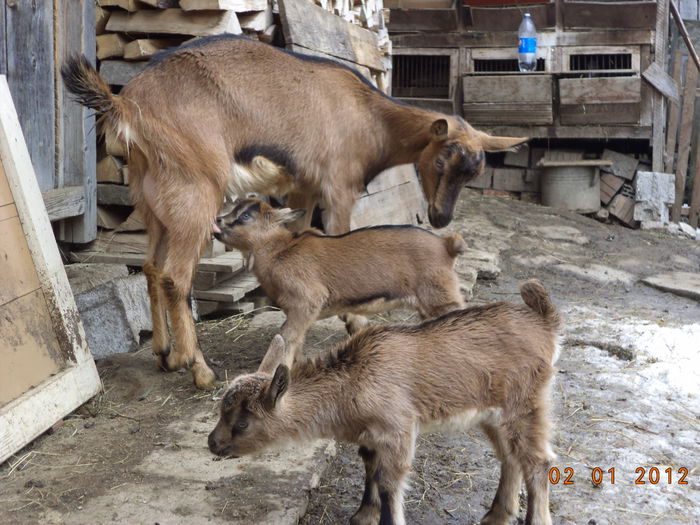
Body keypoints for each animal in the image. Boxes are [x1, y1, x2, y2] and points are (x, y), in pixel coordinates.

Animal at [63, 35, 528, 388]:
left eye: (475, 170)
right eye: (440, 160)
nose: (441, 219)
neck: (367, 115)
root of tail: (127, 104)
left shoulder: (302, 189)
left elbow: (302, 235)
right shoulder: (338, 188)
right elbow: (340, 238)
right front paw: (354, 324)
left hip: (152, 201)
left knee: (150, 267)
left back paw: (165, 355)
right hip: (195, 193)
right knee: (176, 276)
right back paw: (198, 368)